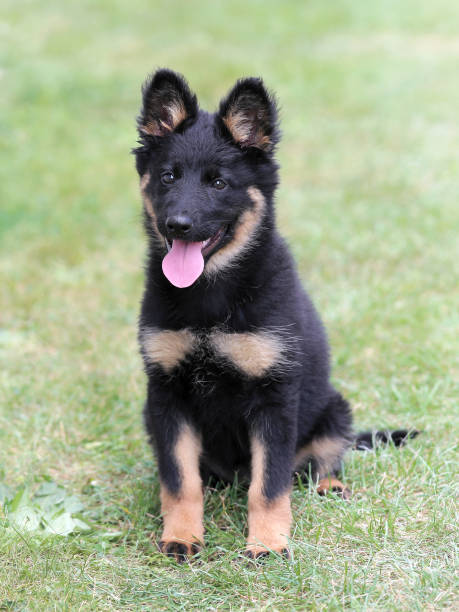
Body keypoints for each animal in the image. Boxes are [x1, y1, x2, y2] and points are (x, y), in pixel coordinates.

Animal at [133, 69, 416, 560]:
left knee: (324, 458)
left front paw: (266, 544)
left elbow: (268, 485)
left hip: (333, 408)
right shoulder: (167, 396)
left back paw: (330, 486)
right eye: (168, 177)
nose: (178, 225)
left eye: (219, 183)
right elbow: (180, 480)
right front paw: (182, 535)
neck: (212, 294)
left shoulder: (275, 399)